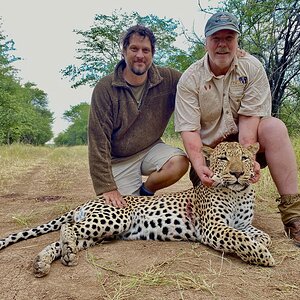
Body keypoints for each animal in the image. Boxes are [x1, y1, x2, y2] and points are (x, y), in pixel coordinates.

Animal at [0, 142, 276, 278]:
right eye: (223, 159)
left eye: (245, 158)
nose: (237, 173)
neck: (238, 193)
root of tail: (90, 200)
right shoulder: (212, 227)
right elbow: (238, 238)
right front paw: (263, 257)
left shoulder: (244, 224)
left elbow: (262, 236)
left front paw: (261, 246)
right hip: (115, 218)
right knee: (69, 227)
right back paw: (63, 252)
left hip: (100, 234)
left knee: (63, 240)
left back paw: (46, 261)